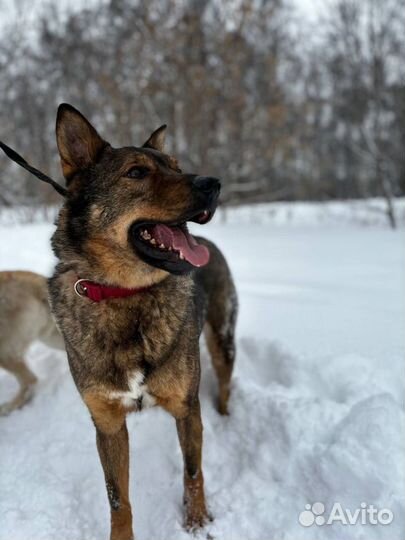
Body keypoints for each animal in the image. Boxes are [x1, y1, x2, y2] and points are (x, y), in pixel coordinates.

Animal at [47, 105, 237, 540]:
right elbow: (118, 499)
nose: (214, 184)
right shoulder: (107, 424)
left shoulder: (186, 408)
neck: (124, 295)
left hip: (223, 342)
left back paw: (226, 416)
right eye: (136, 172)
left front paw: (197, 521)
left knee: (223, 385)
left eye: (176, 166)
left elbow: (192, 471)